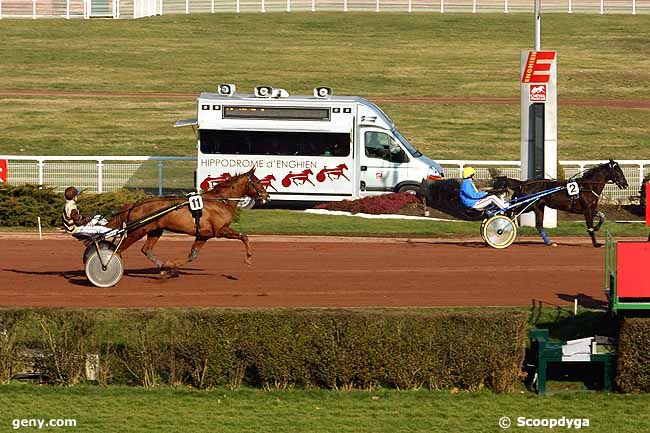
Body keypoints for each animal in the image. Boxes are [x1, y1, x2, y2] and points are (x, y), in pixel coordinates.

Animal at [108, 169, 268, 274]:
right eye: (257, 182)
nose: (267, 195)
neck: (221, 201)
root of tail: (134, 204)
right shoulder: (220, 230)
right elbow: (244, 236)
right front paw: (248, 258)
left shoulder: (204, 235)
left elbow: (192, 256)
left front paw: (168, 268)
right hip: (137, 231)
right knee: (118, 250)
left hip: (155, 230)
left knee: (146, 249)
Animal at [492, 159, 628, 246]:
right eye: (618, 171)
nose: (625, 184)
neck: (588, 186)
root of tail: (523, 183)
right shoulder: (586, 210)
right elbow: (590, 226)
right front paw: (596, 243)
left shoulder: (591, 209)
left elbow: (602, 217)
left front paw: (597, 227)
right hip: (527, 205)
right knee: (510, 212)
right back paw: (502, 229)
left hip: (538, 207)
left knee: (538, 225)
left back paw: (549, 242)